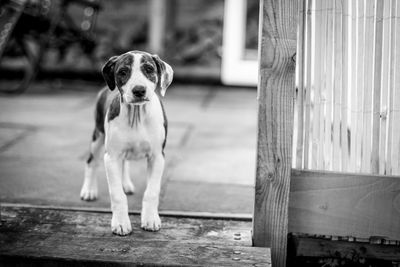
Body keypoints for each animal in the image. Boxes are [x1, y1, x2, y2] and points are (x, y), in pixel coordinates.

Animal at [81, 50, 173, 237]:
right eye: (123, 72)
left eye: (149, 69)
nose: (139, 90)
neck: (136, 115)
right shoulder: (111, 157)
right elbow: (117, 195)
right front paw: (121, 223)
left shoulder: (157, 157)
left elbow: (152, 192)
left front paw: (151, 219)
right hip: (98, 135)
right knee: (91, 161)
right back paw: (89, 190)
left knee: (125, 164)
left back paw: (126, 184)